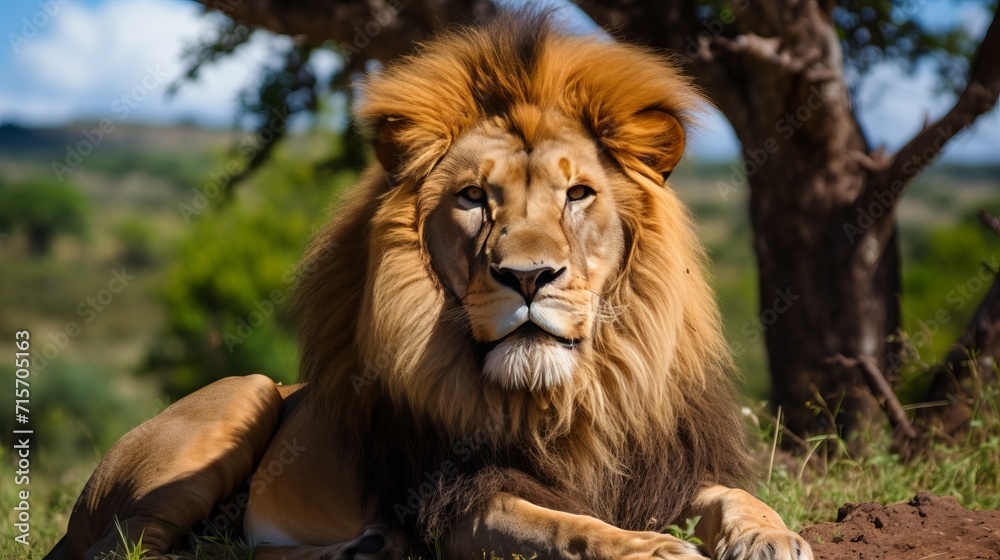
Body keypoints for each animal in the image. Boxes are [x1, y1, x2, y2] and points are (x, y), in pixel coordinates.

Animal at [47, 12, 812, 560]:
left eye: (578, 194)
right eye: (474, 197)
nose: (527, 276)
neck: (568, 402)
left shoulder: (668, 470)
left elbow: (732, 494)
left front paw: (772, 535)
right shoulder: (460, 501)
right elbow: (566, 527)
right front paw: (650, 548)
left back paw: (362, 550)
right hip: (244, 398)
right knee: (136, 549)